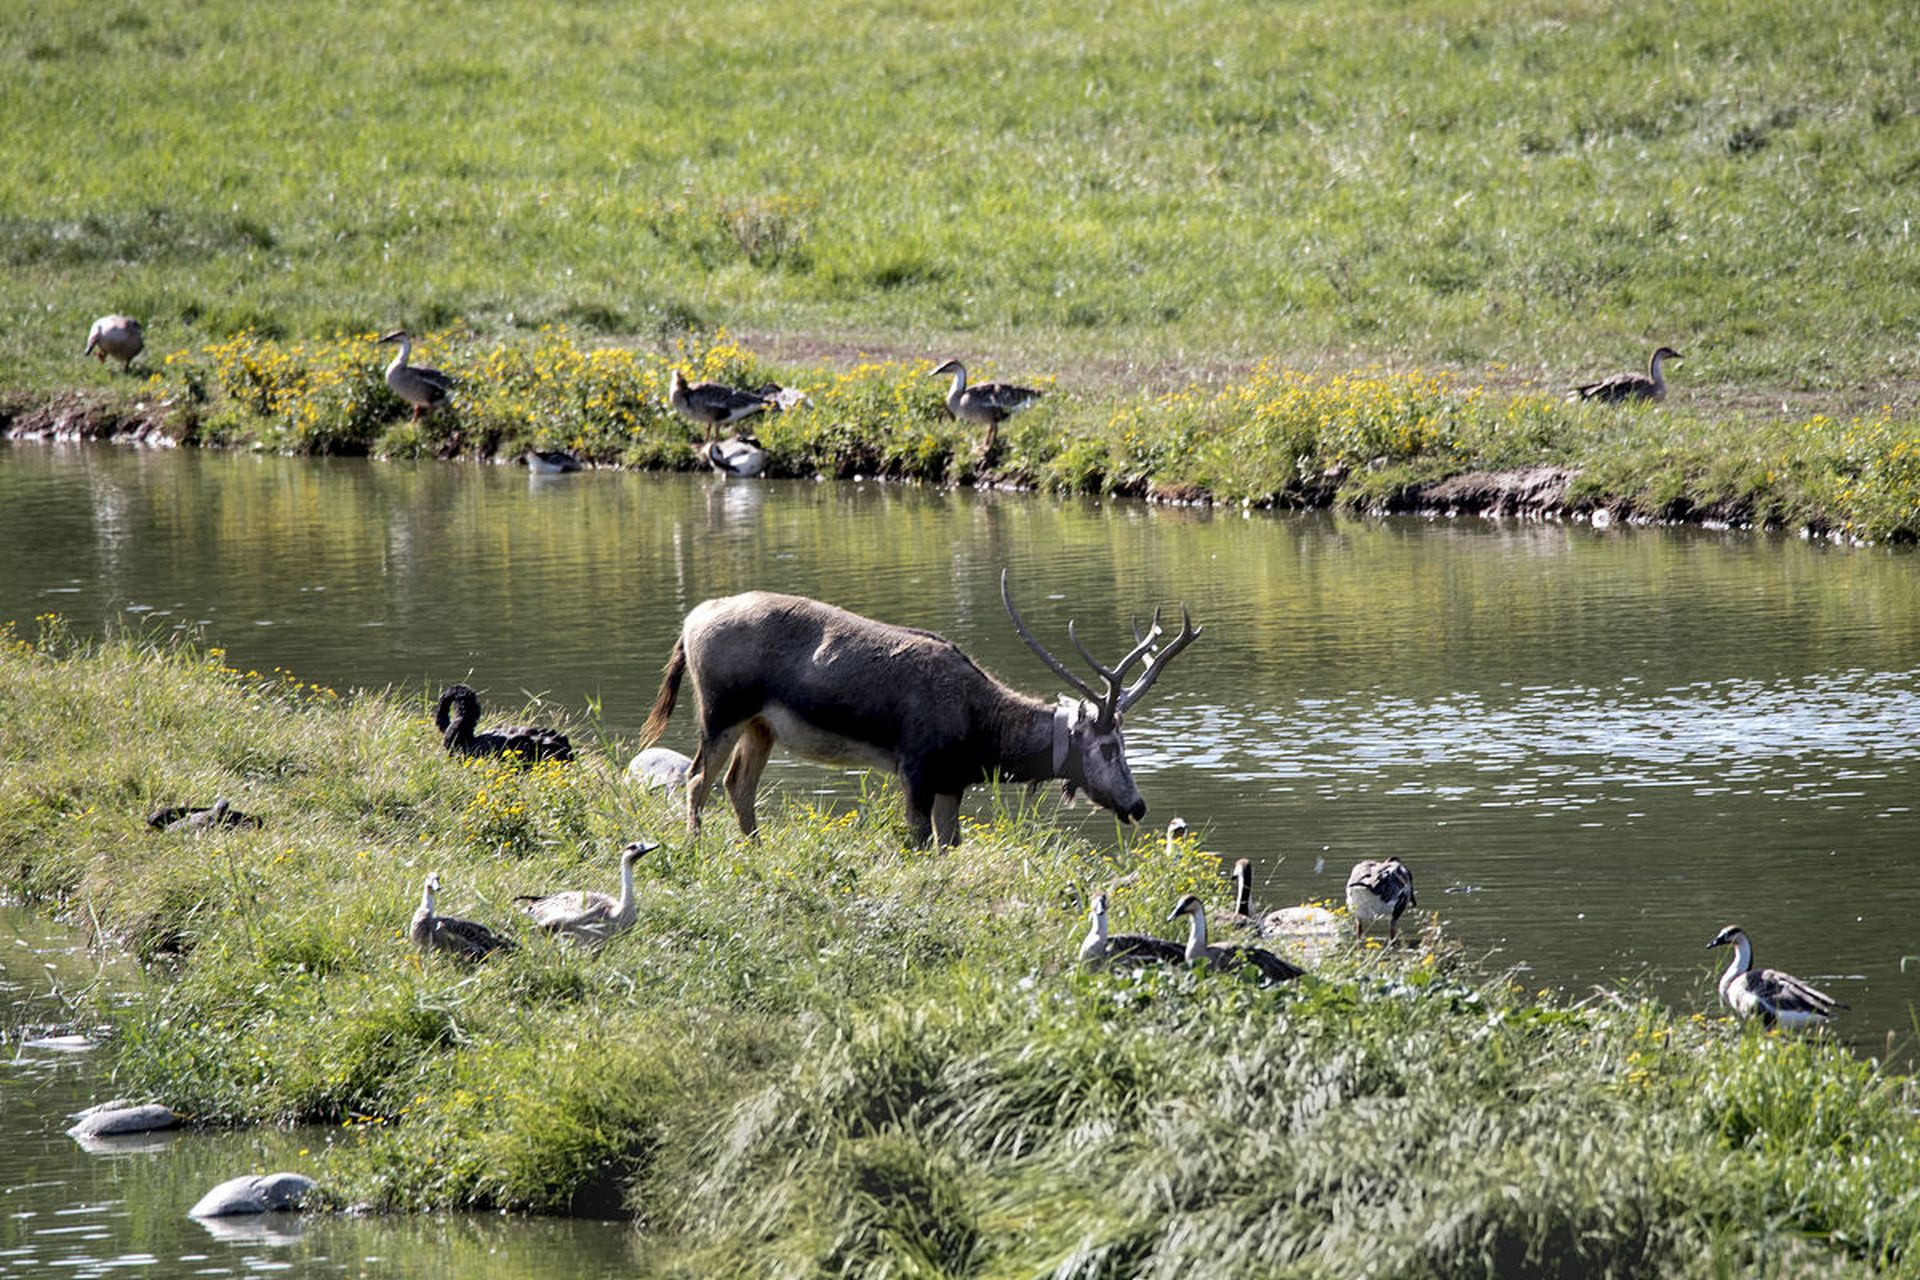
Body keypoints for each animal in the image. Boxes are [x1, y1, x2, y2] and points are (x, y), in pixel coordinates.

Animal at [633, 571, 1198, 852]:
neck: (981, 736)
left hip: (761, 726)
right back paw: (697, 847)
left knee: (738, 784)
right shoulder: (917, 767)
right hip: (721, 710)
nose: (1137, 805)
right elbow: (919, 843)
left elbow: (951, 845)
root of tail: (691, 621)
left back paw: (756, 848)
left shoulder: (952, 781)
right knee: (698, 778)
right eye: (1107, 746)